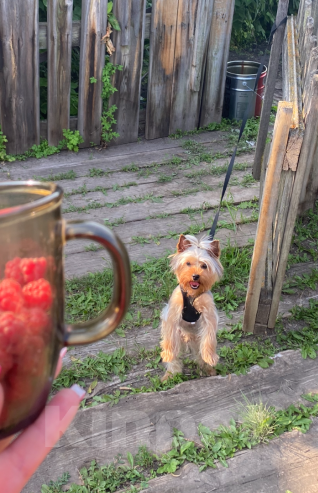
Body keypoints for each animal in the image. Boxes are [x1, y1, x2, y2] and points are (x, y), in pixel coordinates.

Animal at [160, 234, 222, 380]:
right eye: (188, 263)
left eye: (204, 266)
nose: (195, 276)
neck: (192, 294)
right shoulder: (172, 316)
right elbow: (170, 340)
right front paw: (168, 354)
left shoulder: (209, 316)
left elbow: (209, 339)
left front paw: (210, 357)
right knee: (175, 358)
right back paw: (170, 375)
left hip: (197, 339)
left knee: (200, 353)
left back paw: (208, 369)